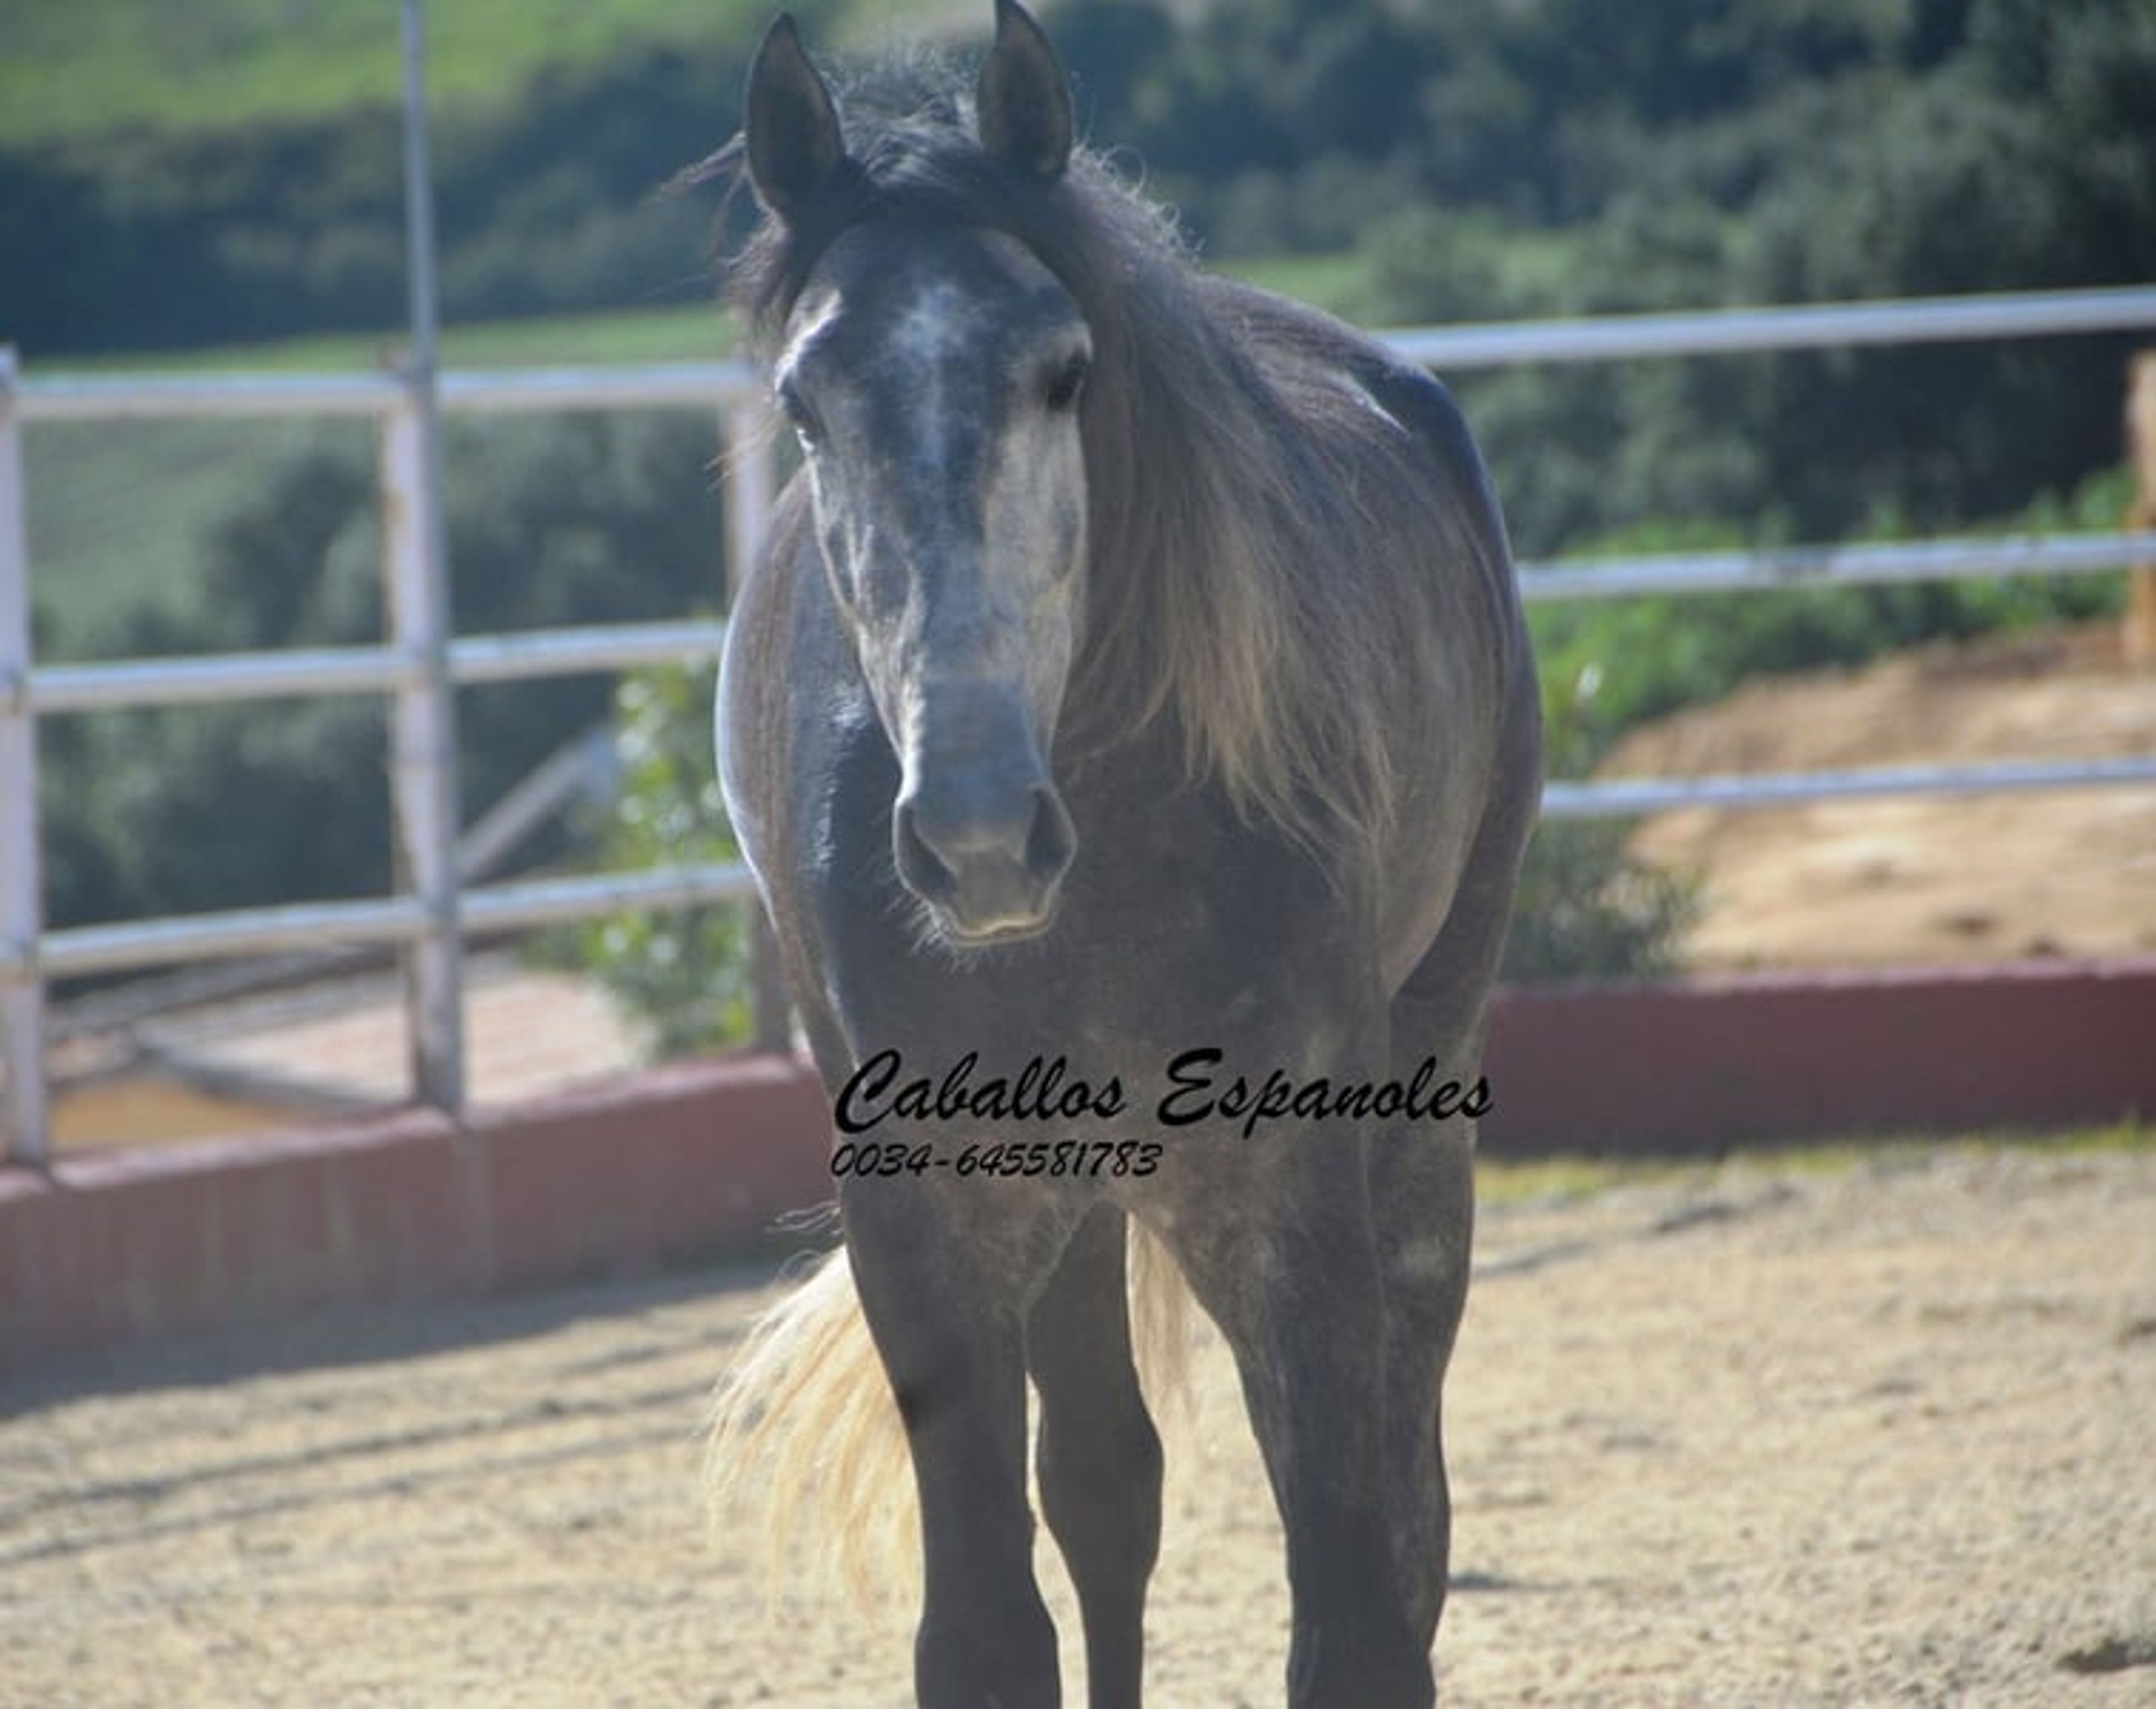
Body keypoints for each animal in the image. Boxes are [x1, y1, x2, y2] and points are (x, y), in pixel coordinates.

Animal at [706, 5, 1542, 1705]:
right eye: (808, 403)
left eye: (1061, 370)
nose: (974, 837)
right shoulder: (930, 1228)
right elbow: (988, 1624)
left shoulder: (1289, 1212)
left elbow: (1354, 1609)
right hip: (1076, 1204)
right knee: (1106, 1481)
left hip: (1420, 1113)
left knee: (1407, 1505)